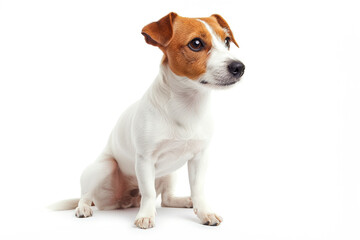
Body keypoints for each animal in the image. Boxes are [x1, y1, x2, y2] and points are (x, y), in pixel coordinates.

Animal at [50, 12, 246, 229]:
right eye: (196, 43)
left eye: (227, 41)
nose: (239, 67)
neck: (187, 106)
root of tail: (124, 201)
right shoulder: (145, 159)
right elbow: (149, 193)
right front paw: (146, 216)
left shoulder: (199, 157)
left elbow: (198, 189)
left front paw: (204, 212)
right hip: (104, 167)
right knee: (86, 195)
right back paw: (83, 208)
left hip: (169, 174)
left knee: (167, 199)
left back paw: (185, 201)